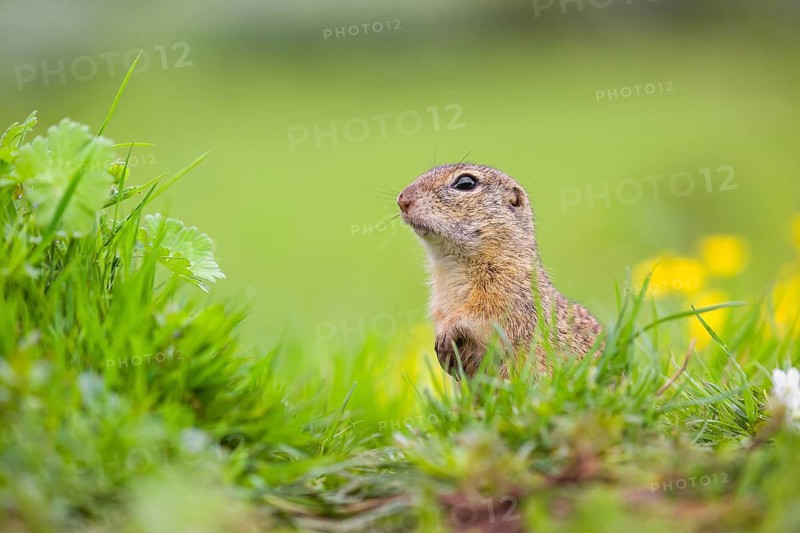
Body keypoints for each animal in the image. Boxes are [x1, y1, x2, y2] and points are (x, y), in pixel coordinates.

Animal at [397, 163, 601, 377]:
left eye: (465, 183)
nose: (402, 199)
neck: (450, 265)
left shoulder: (507, 294)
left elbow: (482, 316)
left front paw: (447, 333)